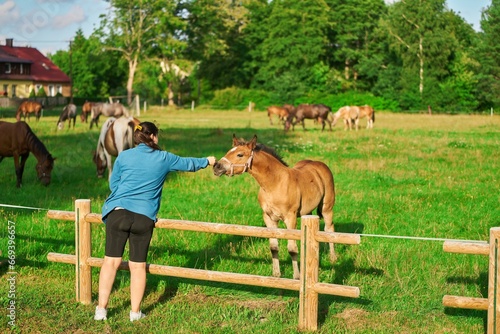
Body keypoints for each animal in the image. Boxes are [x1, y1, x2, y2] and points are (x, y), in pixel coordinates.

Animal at [213, 134, 338, 280]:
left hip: (327, 207)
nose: (216, 167)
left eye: (240, 154)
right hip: (308, 212)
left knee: (329, 229)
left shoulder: (290, 218)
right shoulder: (269, 218)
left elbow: (292, 248)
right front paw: (276, 274)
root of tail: (320, 164)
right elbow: (274, 247)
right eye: (229, 151)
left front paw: (297, 276)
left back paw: (333, 257)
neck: (275, 183)